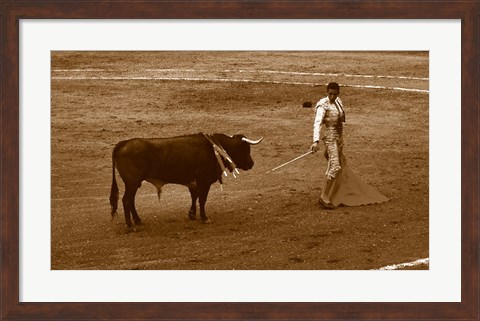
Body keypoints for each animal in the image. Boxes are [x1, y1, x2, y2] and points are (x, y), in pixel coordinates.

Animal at [109, 133, 262, 230]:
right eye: (245, 149)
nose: (252, 163)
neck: (214, 149)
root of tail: (124, 143)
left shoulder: (193, 181)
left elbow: (194, 197)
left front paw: (192, 214)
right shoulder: (204, 181)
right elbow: (202, 199)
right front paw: (204, 217)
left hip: (133, 184)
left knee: (131, 201)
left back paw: (137, 220)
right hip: (132, 183)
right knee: (126, 200)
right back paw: (130, 225)